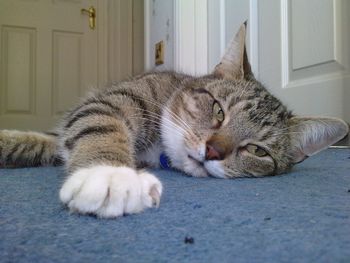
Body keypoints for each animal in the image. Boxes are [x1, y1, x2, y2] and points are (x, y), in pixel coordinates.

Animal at [0, 22, 348, 218]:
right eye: (218, 110)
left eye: (257, 150)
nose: (212, 152)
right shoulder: (112, 101)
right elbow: (99, 125)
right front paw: (108, 174)